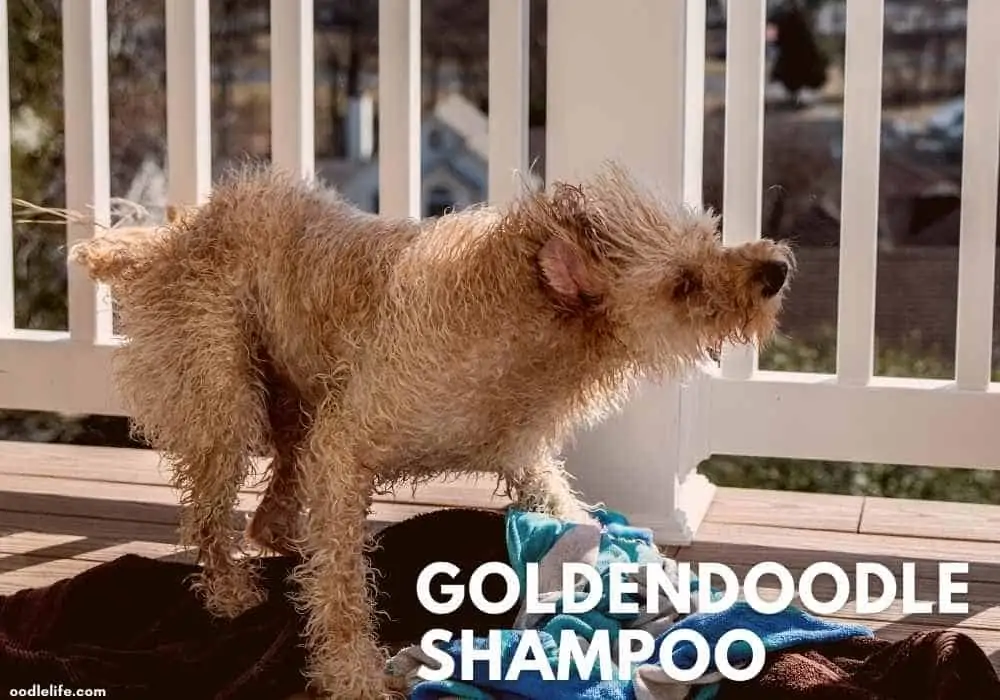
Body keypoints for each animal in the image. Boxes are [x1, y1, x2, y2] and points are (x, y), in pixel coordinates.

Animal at [68, 163, 788, 696]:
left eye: (709, 235)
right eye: (683, 283)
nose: (776, 269)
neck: (527, 322)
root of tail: (176, 235)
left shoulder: (524, 458)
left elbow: (568, 516)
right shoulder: (346, 447)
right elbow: (343, 592)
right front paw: (352, 675)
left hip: (296, 400)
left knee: (271, 510)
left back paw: (286, 544)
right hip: (226, 397)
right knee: (213, 516)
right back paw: (227, 590)